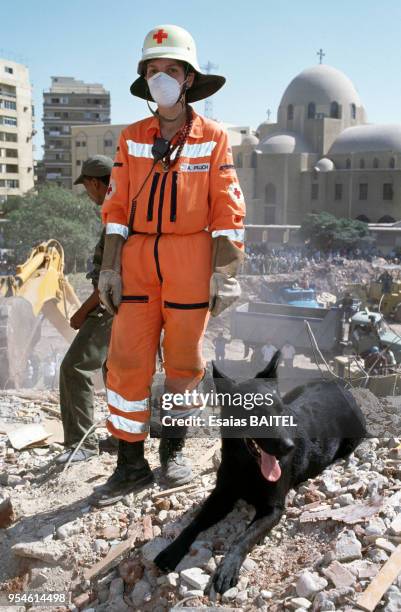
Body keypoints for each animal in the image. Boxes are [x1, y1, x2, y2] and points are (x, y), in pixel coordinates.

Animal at [153, 352, 366, 596]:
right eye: (254, 412)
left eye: (281, 411)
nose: (290, 446)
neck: (246, 465)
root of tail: (339, 386)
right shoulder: (221, 497)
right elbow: (195, 523)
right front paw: (172, 550)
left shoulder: (272, 509)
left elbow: (244, 537)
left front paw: (227, 567)